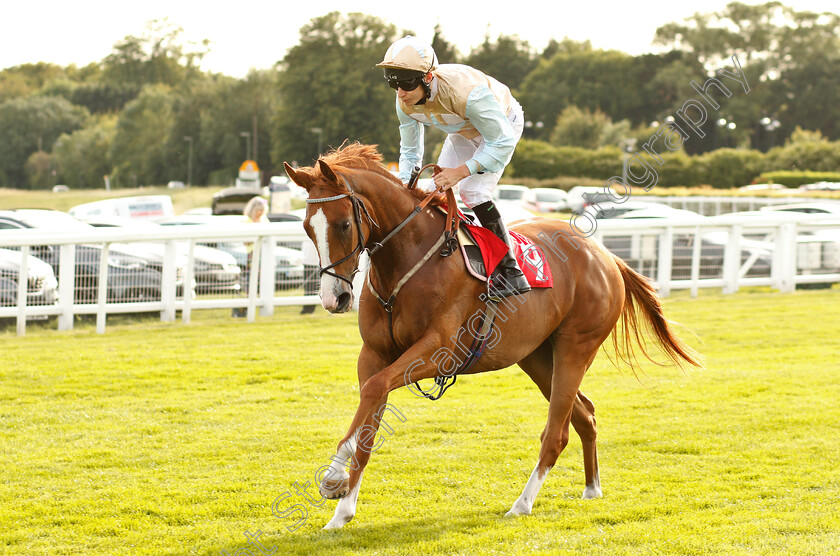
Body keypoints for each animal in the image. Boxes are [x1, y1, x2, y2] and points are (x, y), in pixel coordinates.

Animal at [286, 141, 700, 528]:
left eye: (343, 224)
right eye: (306, 227)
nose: (335, 298)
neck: (407, 261)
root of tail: (606, 256)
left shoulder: (439, 351)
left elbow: (373, 394)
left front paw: (336, 484)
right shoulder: (374, 354)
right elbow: (369, 419)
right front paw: (340, 501)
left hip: (576, 347)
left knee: (557, 433)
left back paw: (522, 504)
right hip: (537, 356)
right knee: (584, 415)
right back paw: (591, 488)